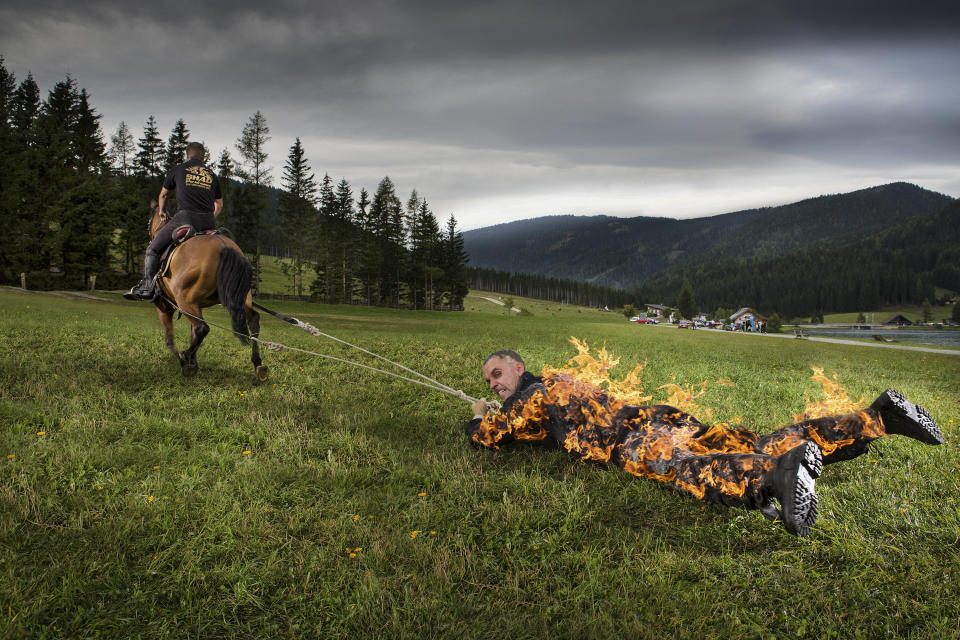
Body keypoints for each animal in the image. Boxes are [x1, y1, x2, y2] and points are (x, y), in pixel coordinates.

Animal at [146, 201, 268, 380]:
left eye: (149, 220)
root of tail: (224, 246)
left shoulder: (163, 305)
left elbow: (170, 340)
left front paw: (186, 361)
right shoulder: (197, 306)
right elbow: (192, 333)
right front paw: (193, 362)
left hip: (184, 300)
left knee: (202, 328)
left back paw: (186, 357)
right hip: (241, 298)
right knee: (253, 321)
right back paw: (258, 364)